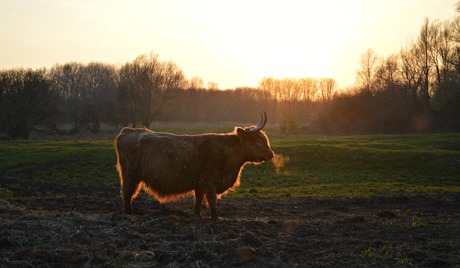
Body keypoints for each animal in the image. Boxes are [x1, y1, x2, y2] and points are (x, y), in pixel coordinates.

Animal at [114, 112, 274, 219]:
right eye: (258, 140)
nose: (271, 154)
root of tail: (129, 131)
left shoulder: (200, 184)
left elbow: (198, 199)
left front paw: (197, 215)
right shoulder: (209, 182)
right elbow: (212, 201)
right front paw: (215, 218)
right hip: (130, 175)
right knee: (127, 193)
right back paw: (129, 213)